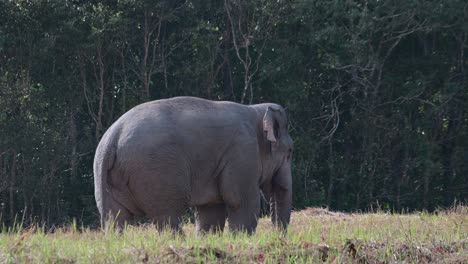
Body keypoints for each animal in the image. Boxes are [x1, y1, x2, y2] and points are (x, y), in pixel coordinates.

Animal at [93, 96, 292, 234]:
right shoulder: (242, 154)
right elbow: (240, 202)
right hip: (156, 172)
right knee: (167, 216)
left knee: (115, 218)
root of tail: (113, 137)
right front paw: (241, 238)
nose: (277, 236)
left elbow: (210, 210)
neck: (256, 110)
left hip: (106, 176)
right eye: (290, 151)